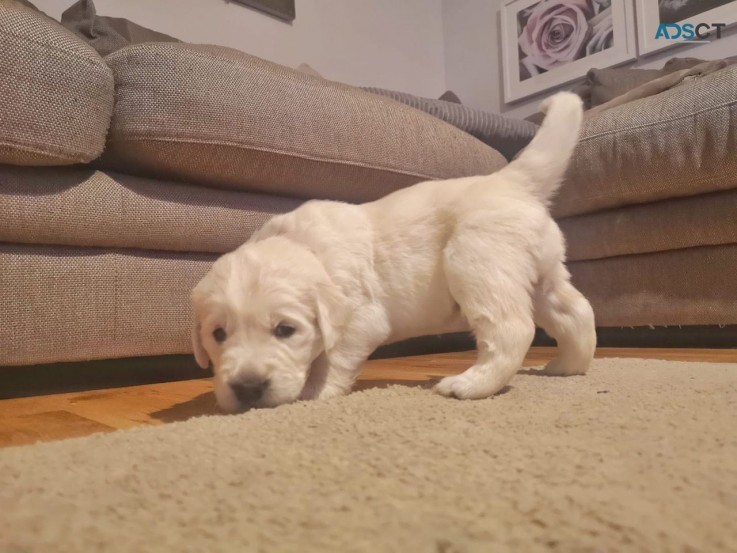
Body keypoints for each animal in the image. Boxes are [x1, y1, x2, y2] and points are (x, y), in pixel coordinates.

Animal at [193, 91, 596, 410]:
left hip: (478, 262)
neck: (305, 247)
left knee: (512, 329)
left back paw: (469, 384)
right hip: (543, 272)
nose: (247, 388)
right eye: (218, 335)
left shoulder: (360, 319)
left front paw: (314, 392)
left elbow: (333, 359)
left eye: (285, 330)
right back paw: (567, 366)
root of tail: (512, 180)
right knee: (576, 312)